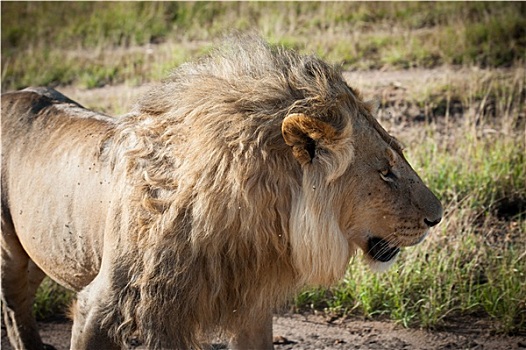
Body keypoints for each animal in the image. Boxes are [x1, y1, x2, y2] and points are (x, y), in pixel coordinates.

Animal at [2, 36, 444, 350]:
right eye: (385, 172)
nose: (437, 218)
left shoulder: (249, 309)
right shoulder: (102, 306)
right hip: (13, 251)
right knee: (15, 304)